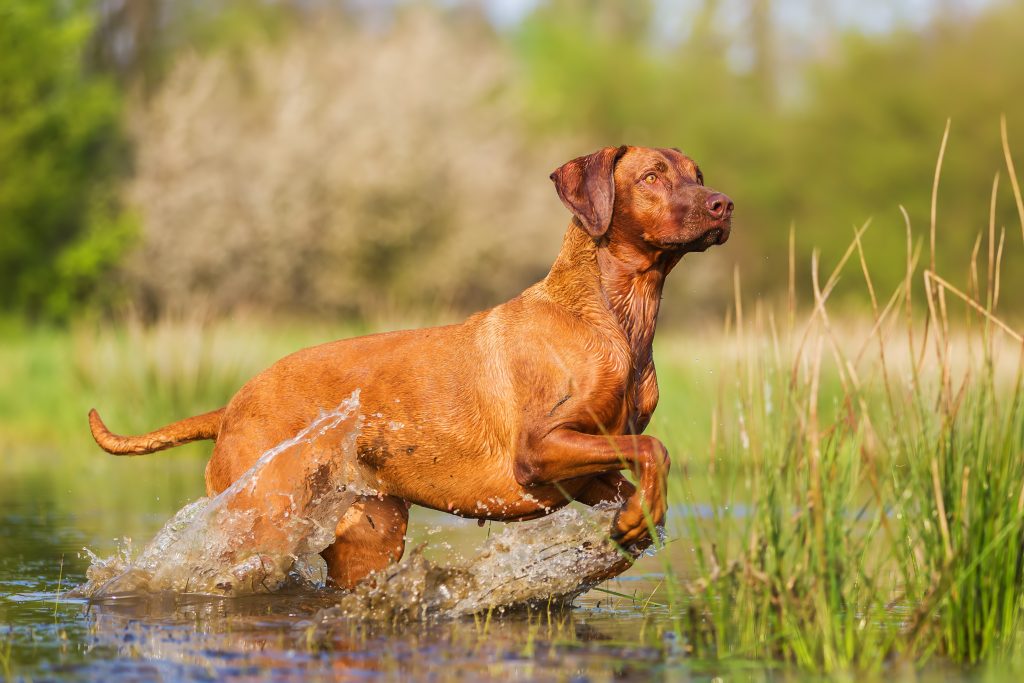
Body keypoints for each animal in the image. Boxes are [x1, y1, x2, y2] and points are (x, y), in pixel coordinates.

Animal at [86, 147, 729, 589]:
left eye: (696, 173)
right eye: (651, 176)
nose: (723, 204)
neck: (617, 316)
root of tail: (232, 404)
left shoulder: (586, 470)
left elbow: (638, 467)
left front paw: (636, 520)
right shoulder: (539, 448)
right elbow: (657, 450)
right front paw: (639, 518)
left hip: (370, 535)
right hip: (262, 520)